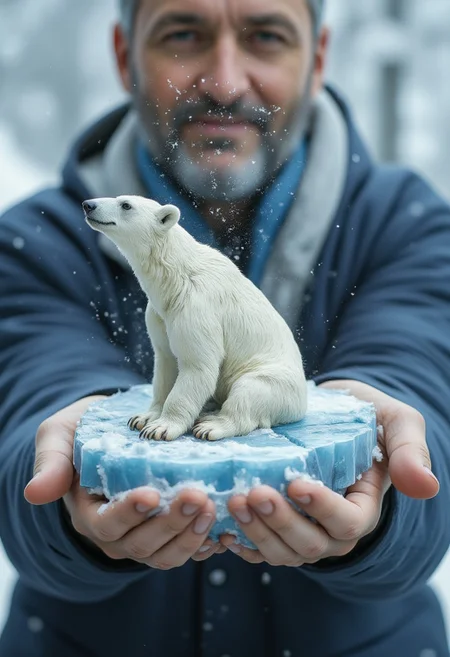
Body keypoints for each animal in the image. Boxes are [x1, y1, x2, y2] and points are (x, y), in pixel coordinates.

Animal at [83, 195, 308, 441]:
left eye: (125, 205)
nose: (88, 205)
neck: (175, 277)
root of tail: (302, 404)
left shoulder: (197, 308)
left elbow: (198, 365)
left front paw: (161, 428)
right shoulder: (159, 314)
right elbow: (165, 364)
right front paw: (144, 417)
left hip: (276, 381)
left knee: (249, 390)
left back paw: (212, 424)